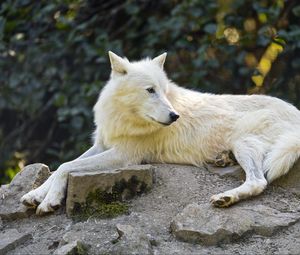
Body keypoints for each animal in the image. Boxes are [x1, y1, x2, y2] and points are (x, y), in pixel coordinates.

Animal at [20, 50, 300, 214]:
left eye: (164, 91)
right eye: (150, 90)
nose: (175, 116)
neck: (124, 117)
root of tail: (295, 111)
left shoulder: (125, 155)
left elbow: (67, 166)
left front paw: (49, 201)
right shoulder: (102, 144)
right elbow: (62, 166)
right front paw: (35, 194)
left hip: (243, 142)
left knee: (258, 181)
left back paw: (226, 197)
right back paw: (222, 160)